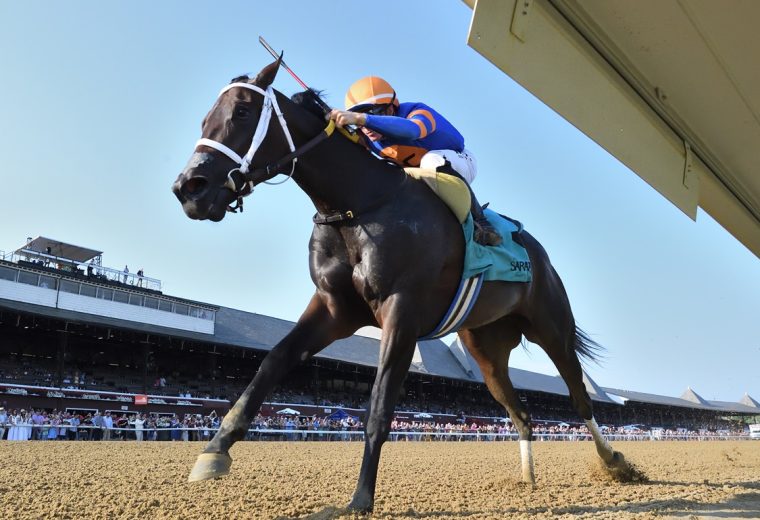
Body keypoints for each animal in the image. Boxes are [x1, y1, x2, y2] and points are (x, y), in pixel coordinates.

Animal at [171, 60, 636, 512]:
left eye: (242, 112)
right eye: (205, 117)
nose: (189, 188)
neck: (357, 206)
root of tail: (538, 253)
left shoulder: (401, 312)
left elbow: (379, 407)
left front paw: (359, 499)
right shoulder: (334, 309)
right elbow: (273, 362)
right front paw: (215, 451)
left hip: (551, 326)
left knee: (580, 396)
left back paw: (616, 463)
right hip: (486, 350)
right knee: (522, 414)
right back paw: (528, 479)